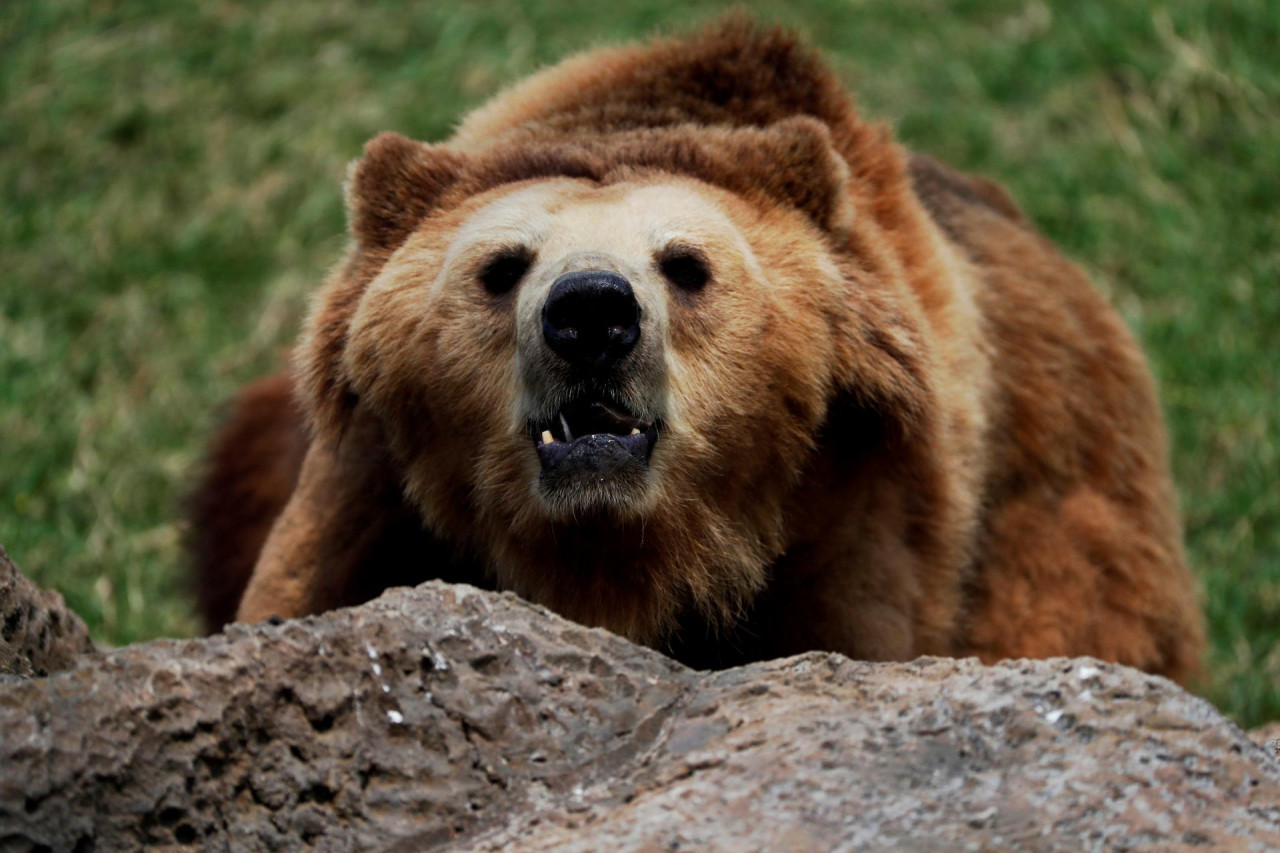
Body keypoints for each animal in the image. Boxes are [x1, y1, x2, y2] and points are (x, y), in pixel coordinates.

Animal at [186, 16, 1198, 681]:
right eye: (502, 266)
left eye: (687, 265)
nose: (592, 315)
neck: (631, 557)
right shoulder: (372, 490)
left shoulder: (849, 508)